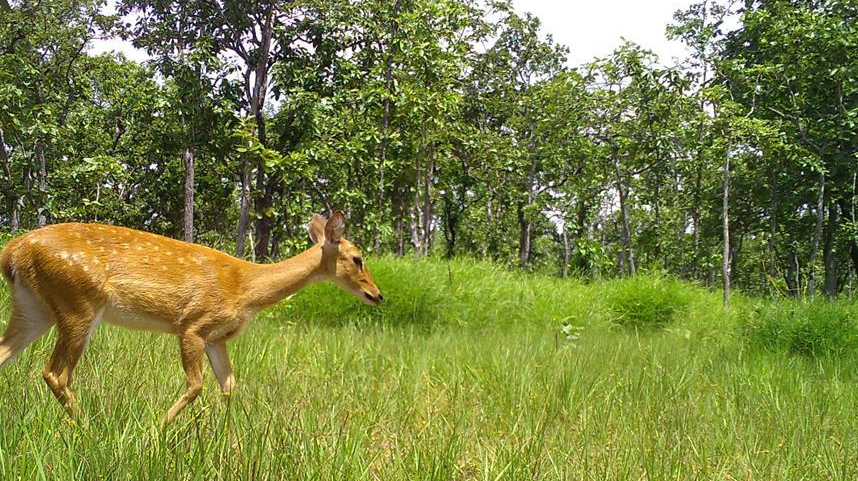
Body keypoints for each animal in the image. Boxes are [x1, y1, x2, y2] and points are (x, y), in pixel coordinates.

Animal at [0, 212, 382, 422]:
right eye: (358, 258)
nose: (377, 295)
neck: (246, 287)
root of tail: (12, 252)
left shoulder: (217, 338)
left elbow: (229, 387)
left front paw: (229, 442)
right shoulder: (193, 325)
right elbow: (196, 385)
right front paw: (157, 430)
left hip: (34, 308)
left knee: (6, 354)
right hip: (77, 302)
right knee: (55, 373)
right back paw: (88, 428)